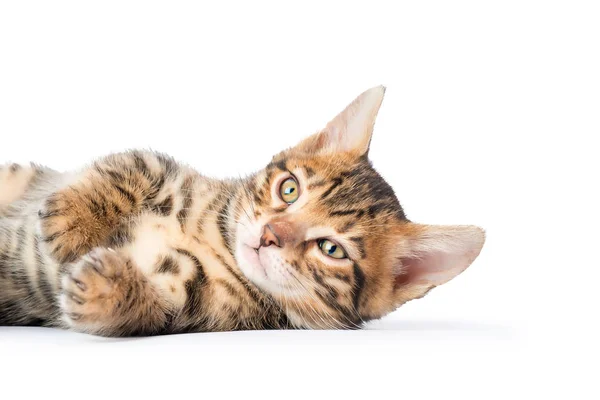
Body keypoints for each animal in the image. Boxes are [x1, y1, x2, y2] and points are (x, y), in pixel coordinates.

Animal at [0, 86, 486, 336]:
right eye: (289, 189)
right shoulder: (163, 168)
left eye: (332, 249)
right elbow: (129, 167)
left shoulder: (193, 306)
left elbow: (152, 309)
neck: (217, 243)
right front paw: (72, 222)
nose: (270, 233)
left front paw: (107, 289)